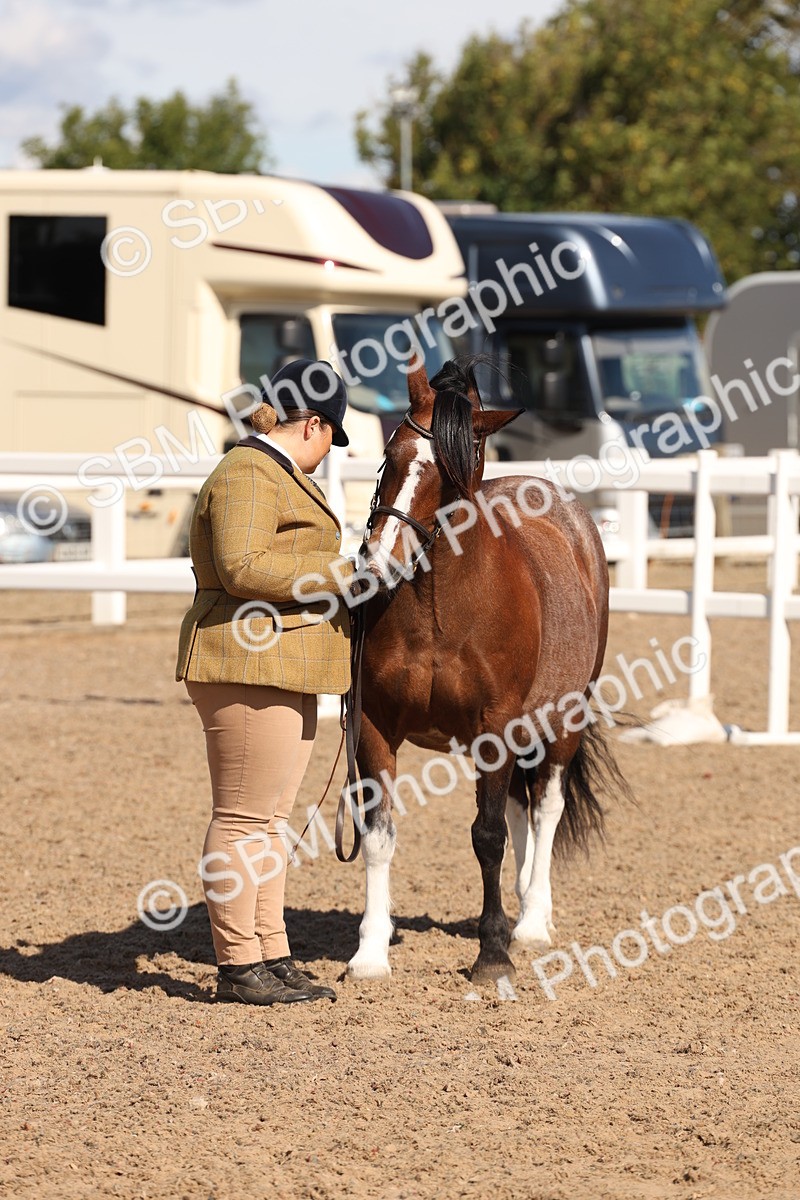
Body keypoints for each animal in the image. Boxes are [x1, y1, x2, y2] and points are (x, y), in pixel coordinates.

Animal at [346, 356, 627, 983]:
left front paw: (493, 951)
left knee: (545, 807)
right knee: (523, 806)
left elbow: (488, 836)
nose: (377, 564)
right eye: (391, 456)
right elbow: (378, 837)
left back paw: (533, 921)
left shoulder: (494, 730)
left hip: (563, 721)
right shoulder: (375, 729)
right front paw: (370, 951)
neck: (438, 612)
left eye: (451, 473)